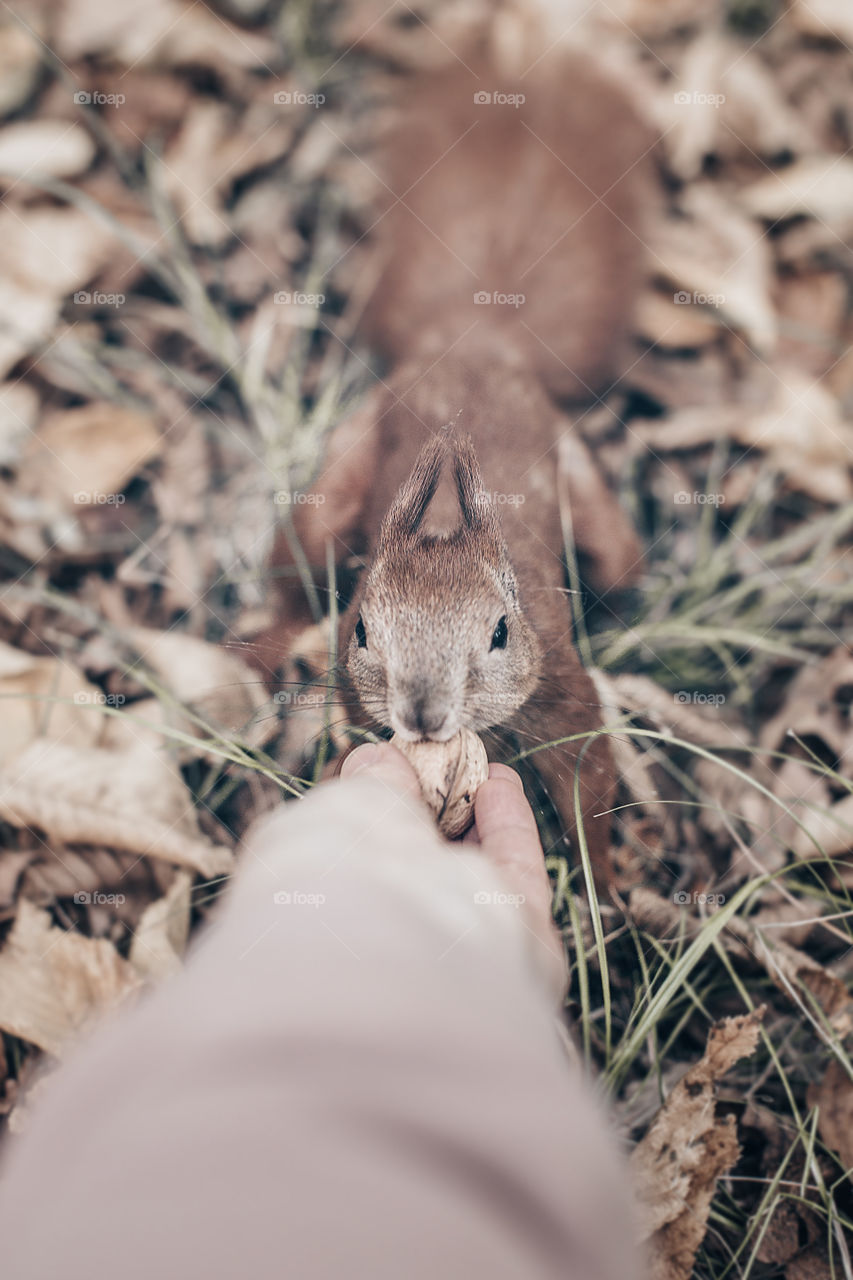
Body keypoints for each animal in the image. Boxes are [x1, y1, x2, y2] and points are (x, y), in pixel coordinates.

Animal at [257, 37, 650, 890]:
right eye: (362, 629)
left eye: (500, 632)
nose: (423, 714)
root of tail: (477, 339)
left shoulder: (558, 682)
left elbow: (588, 776)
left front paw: (605, 899)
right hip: (344, 468)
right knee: (294, 565)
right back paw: (269, 642)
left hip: (588, 502)